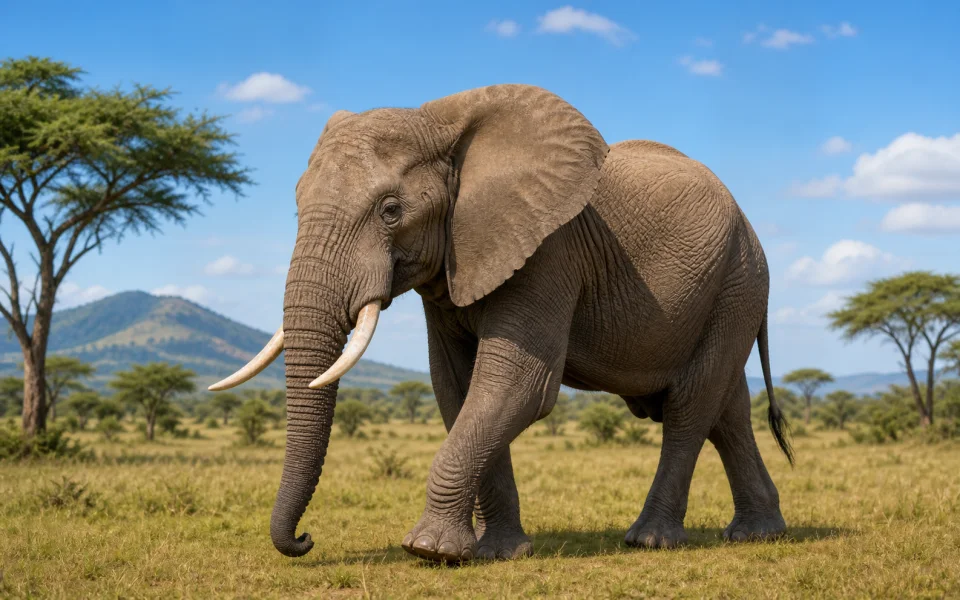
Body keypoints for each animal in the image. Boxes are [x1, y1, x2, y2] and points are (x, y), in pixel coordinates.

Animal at [209, 84, 794, 563]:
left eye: (391, 210)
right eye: (296, 206)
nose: (304, 540)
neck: (443, 123)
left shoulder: (550, 250)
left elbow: (518, 386)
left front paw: (428, 550)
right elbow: (457, 388)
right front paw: (498, 553)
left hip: (739, 281)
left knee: (692, 405)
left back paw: (650, 540)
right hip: (730, 288)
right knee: (727, 409)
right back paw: (758, 534)